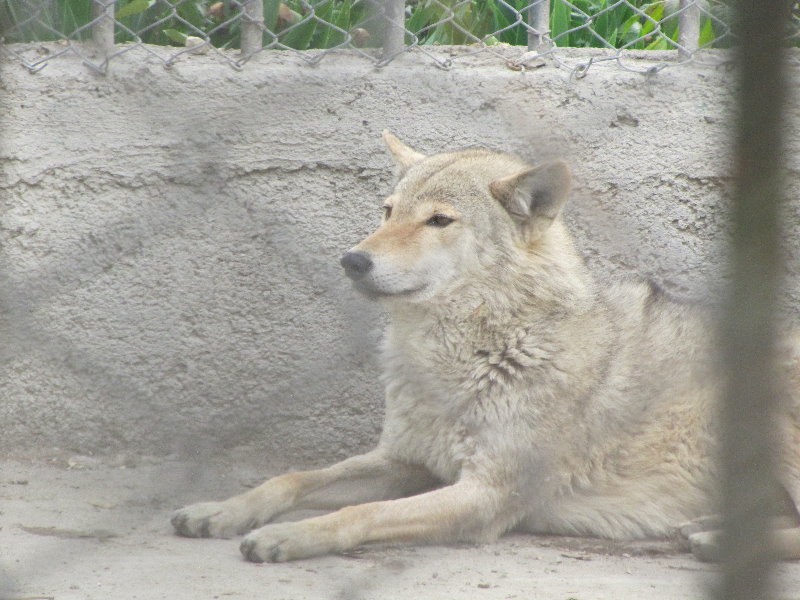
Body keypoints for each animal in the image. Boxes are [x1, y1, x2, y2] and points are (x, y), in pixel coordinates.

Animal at [172, 132, 800, 563]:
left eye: (439, 221)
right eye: (388, 211)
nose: (352, 260)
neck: (468, 354)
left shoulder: (485, 494)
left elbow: (359, 511)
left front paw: (288, 534)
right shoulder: (406, 460)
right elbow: (293, 479)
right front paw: (222, 511)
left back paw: (716, 539)